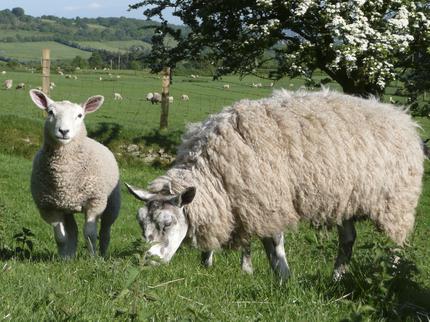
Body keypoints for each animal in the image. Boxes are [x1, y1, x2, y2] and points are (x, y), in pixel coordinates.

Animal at [28, 89, 120, 258]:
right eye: (50, 112)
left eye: (80, 115)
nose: (64, 131)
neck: (65, 177)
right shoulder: (50, 207)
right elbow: (61, 237)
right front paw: (63, 258)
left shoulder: (95, 202)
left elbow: (90, 233)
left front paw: (93, 258)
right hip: (66, 207)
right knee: (73, 231)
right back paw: (70, 256)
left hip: (112, 203)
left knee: (105, 230)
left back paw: (103, 253)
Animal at [126, 89, 424, 280]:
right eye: (141, 223)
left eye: (167, 224)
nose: (147, 262)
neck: (214, 172)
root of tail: (401, 116)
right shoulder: (243, 200)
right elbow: (247, 239)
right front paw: (239, 268)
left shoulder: (269, 199)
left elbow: (274, 242)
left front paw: (282, 275)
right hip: (344, 200)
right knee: (348, 239)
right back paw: (337, 276)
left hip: (397, 200)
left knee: (397, 243)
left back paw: (391, 274)